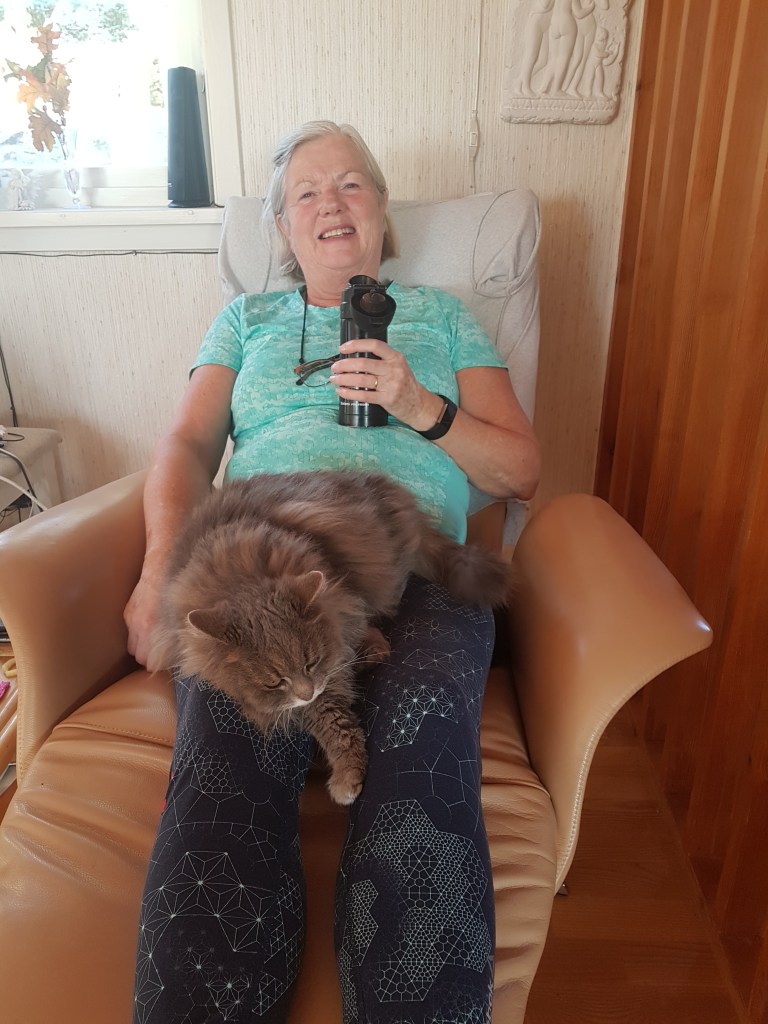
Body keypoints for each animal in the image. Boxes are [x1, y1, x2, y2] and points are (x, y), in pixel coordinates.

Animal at [151, 469, 513, 805]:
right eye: (274, 682)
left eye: (310, 663)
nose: (307, 691)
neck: (241, 572)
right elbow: (332, 721)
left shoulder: (342, 607)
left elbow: (339, 710)